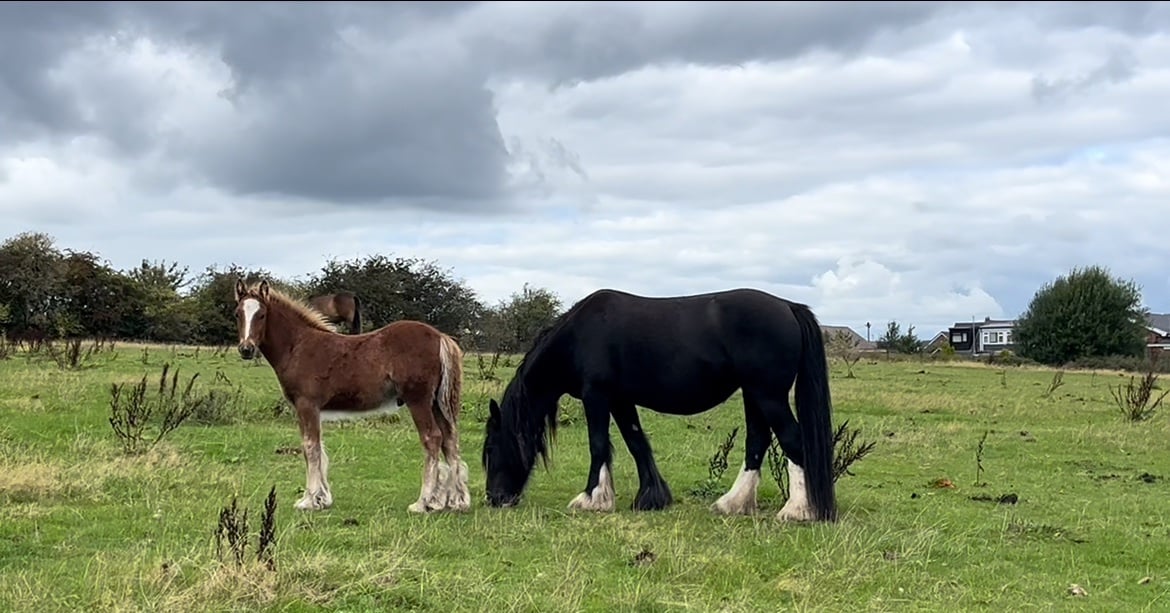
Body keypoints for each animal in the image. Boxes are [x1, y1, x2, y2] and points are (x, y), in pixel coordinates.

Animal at [233, 279, 470, 514]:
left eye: (262, 314)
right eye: (238, 313)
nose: (246, 349)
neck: (298, 345)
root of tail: (440, 337)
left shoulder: (306, 405)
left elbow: (310, 447)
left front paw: (309, 500)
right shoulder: (310, 409)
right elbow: (318, 448)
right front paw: (322, 498)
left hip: (418, 401)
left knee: (432, 438)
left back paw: (423, 502)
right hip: (436, 403)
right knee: (449, 439)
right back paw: (456, 500)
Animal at [481, 287, 838, 523]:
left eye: (492, 449)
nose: (495, 498)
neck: (579, 335)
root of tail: (788, 306)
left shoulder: (597, 395)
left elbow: (598, 445)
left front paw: (591, 499)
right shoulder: (620, 399)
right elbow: (636, 443)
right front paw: (651, 497)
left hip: (768, 395)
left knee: (793, 441)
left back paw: (798, 510)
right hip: (754, 395)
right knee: (757, 442)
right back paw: (732, 504)